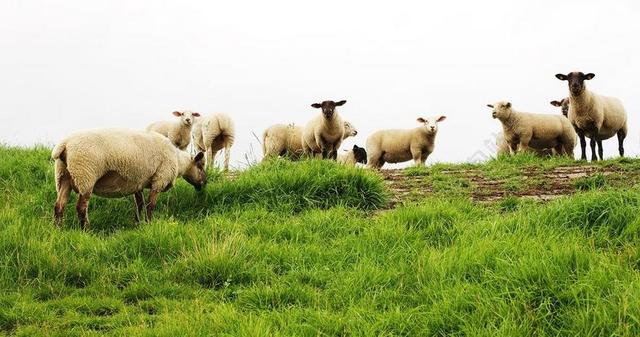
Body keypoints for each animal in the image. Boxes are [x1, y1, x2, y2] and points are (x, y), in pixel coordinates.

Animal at [53, 128, 208, 228]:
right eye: (200, 166)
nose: (204, 183)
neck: (178, 160)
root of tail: (64, 144)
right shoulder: (159, 179)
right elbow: (150, 205)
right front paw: (149, 224)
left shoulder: (138, 183)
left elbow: (139, 205)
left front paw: (138, 224)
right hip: (85, 175)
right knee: (81, 207)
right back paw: (86, 229)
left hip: (63, 176)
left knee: (59, 205)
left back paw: (58, 228)